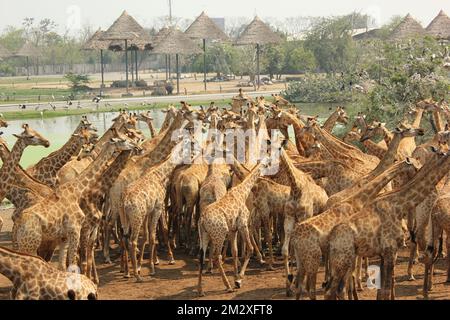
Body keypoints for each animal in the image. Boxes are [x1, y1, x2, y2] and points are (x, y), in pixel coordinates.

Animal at [13, 131, 139, 272]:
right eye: (123, 140)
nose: (136, 146)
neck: (77, 190)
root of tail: (17, 225)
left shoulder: (65, 237)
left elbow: (65, 265)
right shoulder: (76, 230)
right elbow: (76, 263)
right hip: (31, 245)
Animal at [198, 159, 270, 296]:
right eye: (268, 164)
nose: (266, 177)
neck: (243, 192)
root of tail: (202, 219)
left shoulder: (233, 229)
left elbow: (235, 251)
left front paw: (236, 277)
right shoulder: (243, 224)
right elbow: (250, 249)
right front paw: (238, 280)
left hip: (204, 235)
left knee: (201, 257)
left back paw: (200, 291)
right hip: (220, 234)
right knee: (217, 256)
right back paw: (227, 286)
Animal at [286, 159, 420, 298]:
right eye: (415, 166)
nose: (419, 172)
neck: (357, 200)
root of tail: (295, 237)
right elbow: (350, 279)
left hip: (302, 258)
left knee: (300, 285)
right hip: (313, 257)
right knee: (310, 288)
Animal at [326, 149, 450, 302]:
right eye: (444, 154)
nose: (419, 169)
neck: (399, 205)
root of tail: (331, 239)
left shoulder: (384, 253)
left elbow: (381, 290)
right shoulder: (390, 250)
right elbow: (385, 290)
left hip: (342, 260)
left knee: (334, 290)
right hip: (342, 260)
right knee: (335, 290)